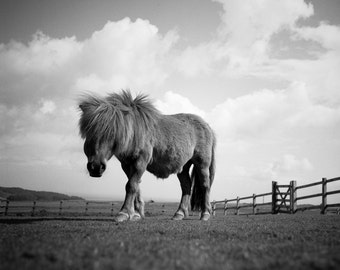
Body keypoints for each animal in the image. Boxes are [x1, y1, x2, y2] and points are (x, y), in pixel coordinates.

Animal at [78, 90, 215, 221]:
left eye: (113, 133)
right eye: (89, 133)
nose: (96, 167)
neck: (134, 132)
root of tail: (207, 126)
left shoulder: (140, 162)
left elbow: (131, 185)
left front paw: (123, 213)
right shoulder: (126, 164)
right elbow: (135, 185)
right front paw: (136, 214)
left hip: (202, 164)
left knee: (205, 185)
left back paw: (205, 214)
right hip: (183, 166)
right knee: (186, 186)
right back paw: (179, 214)